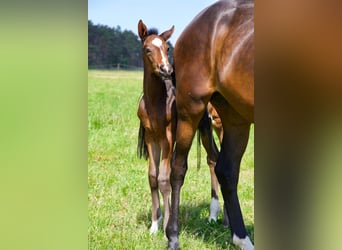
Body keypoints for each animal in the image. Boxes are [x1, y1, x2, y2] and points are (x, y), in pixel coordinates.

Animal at [136, 20, 224, 235]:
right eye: (147, 49)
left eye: (167, 48)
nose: (166, 69)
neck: (155, 103)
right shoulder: (151, 138)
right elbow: (153, 177)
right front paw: (154, 224)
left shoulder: (168, 138)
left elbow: (164, 179)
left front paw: (166, 223)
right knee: (213, 158)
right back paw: (214, 215)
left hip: (213, 126)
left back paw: (218, 216)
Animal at [166, 0, 254, 249]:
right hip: (191, 110)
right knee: (178, 168)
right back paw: (173, 236)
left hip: (236, 118)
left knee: (226, 170)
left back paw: (241, 238)